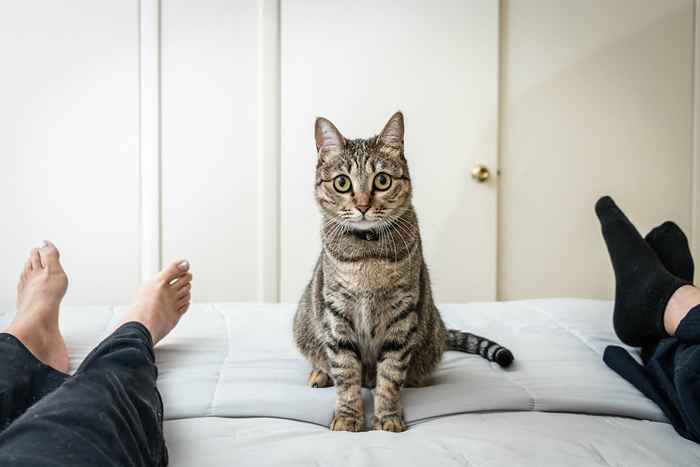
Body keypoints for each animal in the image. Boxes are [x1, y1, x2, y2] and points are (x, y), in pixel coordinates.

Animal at [292, 111, 516, 434]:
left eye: (382, 180)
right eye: (342, 183)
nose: (363, 205)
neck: (368, 252)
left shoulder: (402, 314)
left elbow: (390, 375)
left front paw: (387, 417)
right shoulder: (337, 312)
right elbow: (345, 372)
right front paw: (348, 417)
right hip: (304, 321)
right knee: (325, 359)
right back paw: (320, 374)